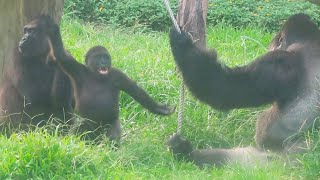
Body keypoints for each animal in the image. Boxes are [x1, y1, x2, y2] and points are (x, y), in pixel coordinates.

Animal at [46, 21, 174, 142]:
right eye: (98, 57)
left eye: (106, 57)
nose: (104, 62)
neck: (96, 75)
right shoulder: (76, 69)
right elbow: (61, 55)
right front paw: (51, 28)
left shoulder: (117, 75)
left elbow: (135, 90)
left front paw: (159, 109)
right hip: (87, 124)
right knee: (79, 131)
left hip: (110, 123)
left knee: (112, 135)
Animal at [168, 13, 320, 167]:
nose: (270, 48)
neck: (311, 40)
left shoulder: (280, 61)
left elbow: (225, 87)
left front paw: (183, 46)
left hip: (275, 160)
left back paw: (188, 154)